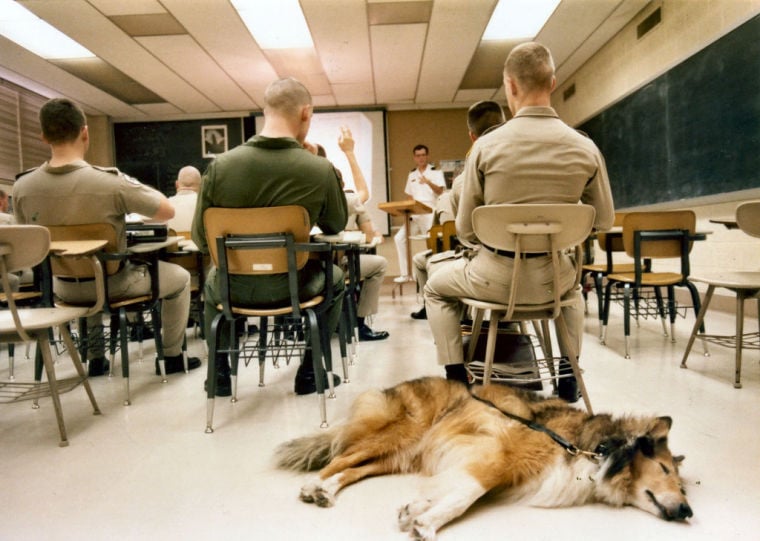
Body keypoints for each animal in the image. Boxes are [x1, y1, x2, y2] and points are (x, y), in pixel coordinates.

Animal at [280, 376, 696, 540]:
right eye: (662, 469)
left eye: (681, 484)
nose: (687, 511)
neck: (594, 448)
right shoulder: (500, 454)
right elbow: (468, 493)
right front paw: (428, 522)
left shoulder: (472, 458)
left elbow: (450, 487)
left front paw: (416, 509)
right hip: (400, 435)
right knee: (340, 457)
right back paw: (315, 486)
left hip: (402, 454)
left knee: (355, 469)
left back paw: (328, 491)